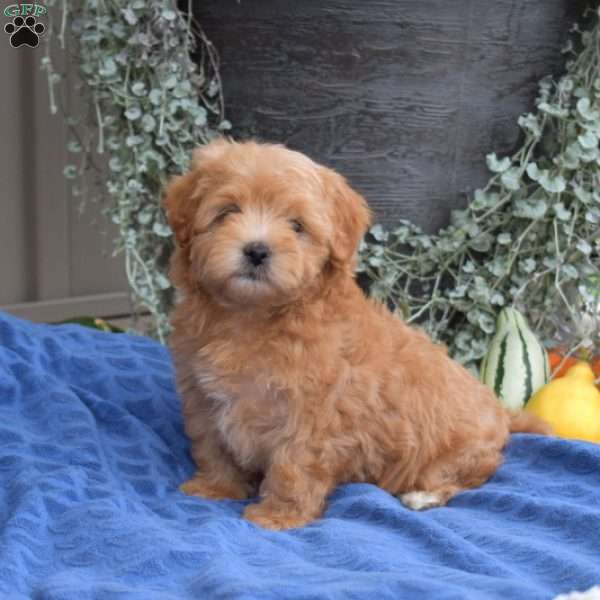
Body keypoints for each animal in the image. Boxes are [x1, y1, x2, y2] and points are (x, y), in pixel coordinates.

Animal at [164, 137, 548, 528]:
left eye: (296, 226)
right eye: (227, 212)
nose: (257, 250)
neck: (252, 316)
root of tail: (501, 413)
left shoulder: (313, 415)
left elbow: (293, 466)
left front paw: (277, 517)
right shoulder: (202, 396)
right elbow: (213, 447)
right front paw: (215, 488)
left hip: (461, 453)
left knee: (467, 476)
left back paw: (424, 496)